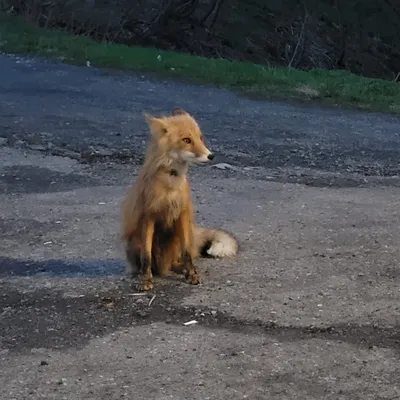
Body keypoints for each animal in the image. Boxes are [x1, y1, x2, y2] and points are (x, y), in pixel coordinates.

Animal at [119, 108, 238, 292]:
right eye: (186, 140)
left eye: (200, 138)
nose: (211, 156)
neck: (171, 186)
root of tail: (162, 267)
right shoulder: (148, 217)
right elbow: (146, 256)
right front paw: (146, 280)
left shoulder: (182, 213)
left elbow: (187, 253)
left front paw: (192, 274)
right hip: (134, 241)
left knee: (178, 259)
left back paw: (182, 269)